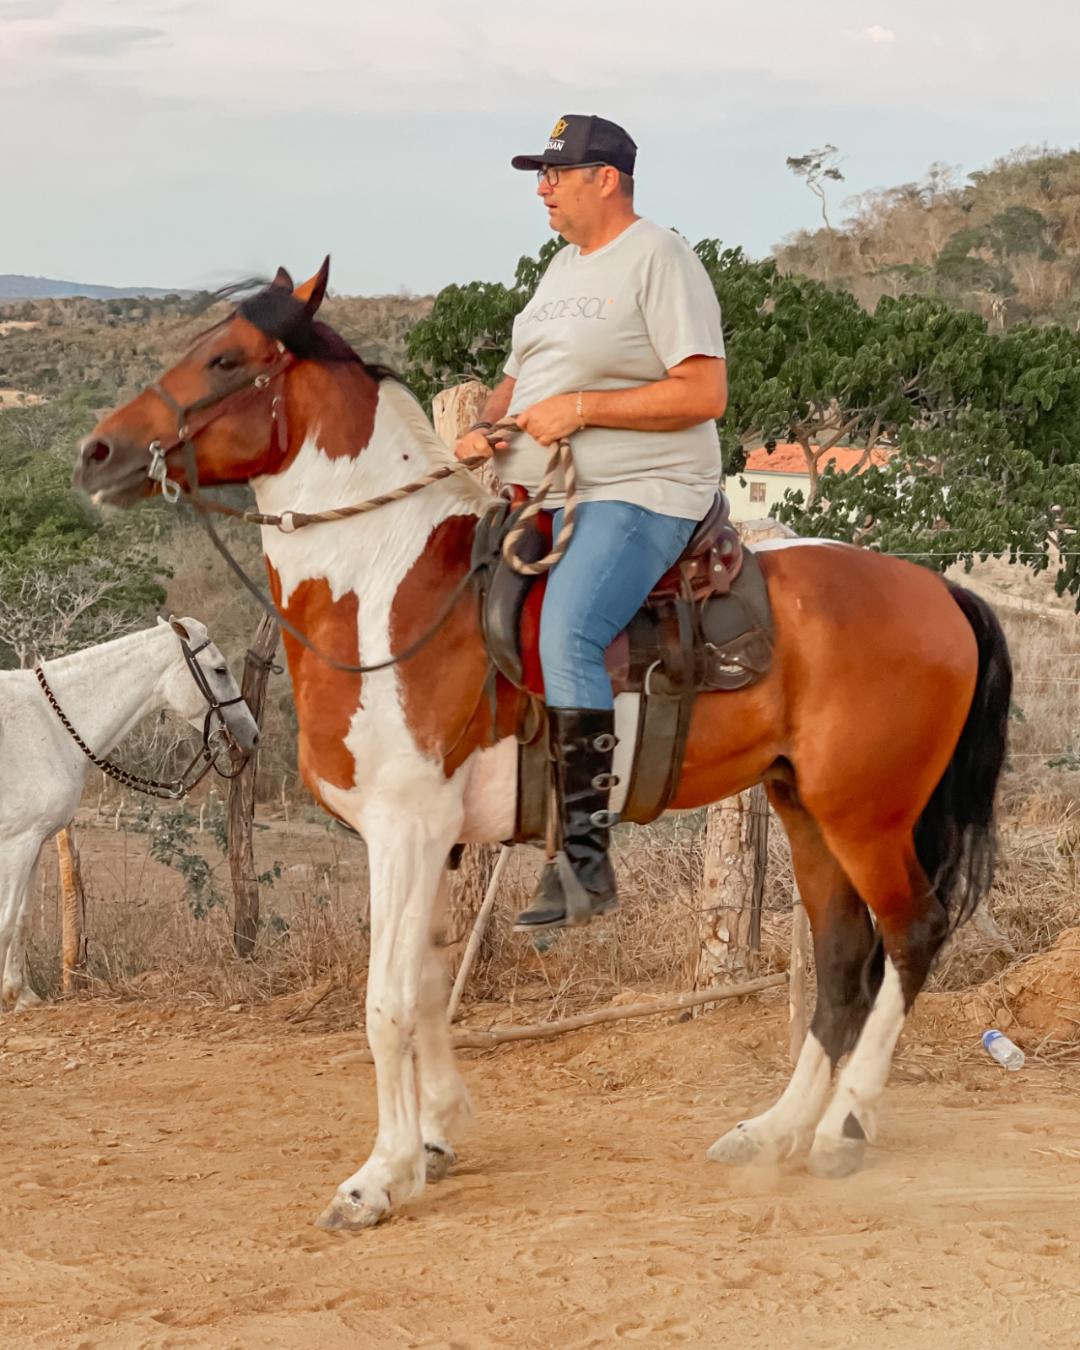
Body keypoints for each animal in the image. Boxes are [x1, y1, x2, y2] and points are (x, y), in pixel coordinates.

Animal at [0, 618, 259, 1009]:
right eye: (220, 669)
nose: (252, 736)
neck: (49, 726)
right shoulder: (18, 843)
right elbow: (7, 921)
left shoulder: (32, 842)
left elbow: (21, 919)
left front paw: (21, 995)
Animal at [75, 260, 1015, 1236]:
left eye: (226, 358)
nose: (96, 454)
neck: (392, 591)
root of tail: (941, 592)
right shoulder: (437, 840)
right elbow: (428, 983)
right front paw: (436, 1135)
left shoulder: (405, 828)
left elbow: (386, 1003)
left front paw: (378, 1176)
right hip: (804, 808)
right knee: (839, 960)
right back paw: (774, 1130)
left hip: (866, 815)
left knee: (911, 935)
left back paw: (843, 1129)